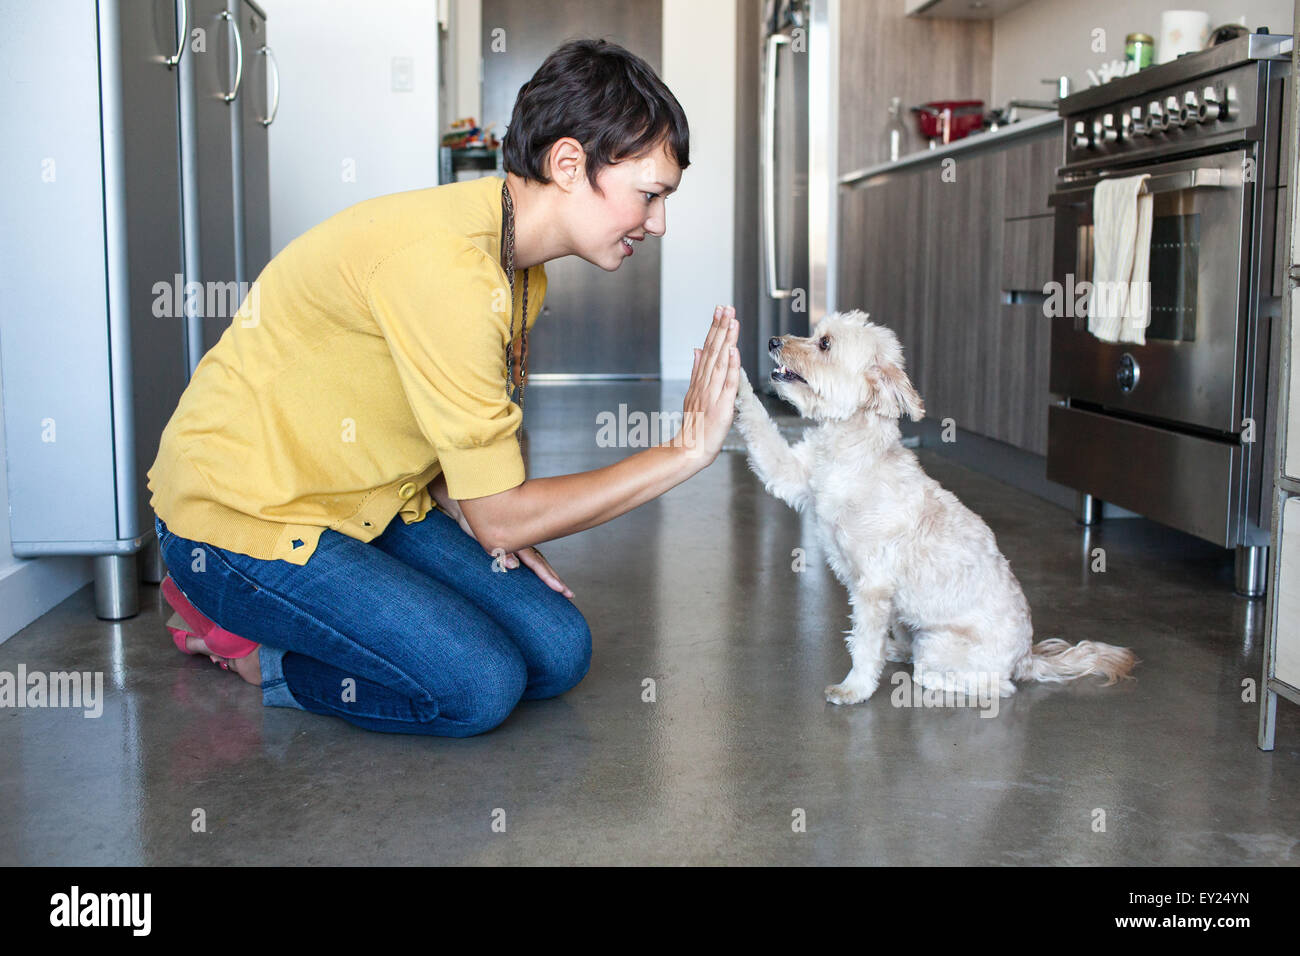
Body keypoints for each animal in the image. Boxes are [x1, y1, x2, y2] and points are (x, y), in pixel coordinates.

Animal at [738, 312, 1133, 702]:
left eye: (825, 344)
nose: (773, 341)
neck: (853, 451)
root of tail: (1025, 656)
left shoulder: (874, 587)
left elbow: (865, 644)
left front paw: (854, 688)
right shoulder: (794, 473)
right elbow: (761, 431)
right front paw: (734, 370)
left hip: (940, 645)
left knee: (987, 684)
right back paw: (897, 648)